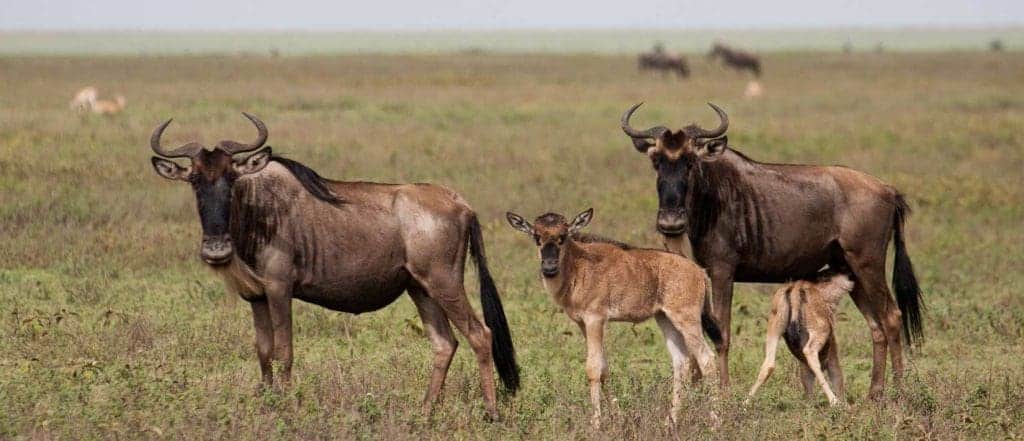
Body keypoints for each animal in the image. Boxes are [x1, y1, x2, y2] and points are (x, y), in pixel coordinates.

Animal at [148, 113, 519, 420]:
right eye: (195, 181)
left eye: (231, 179)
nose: (216, 249)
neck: (257, 210)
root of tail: (461, 203)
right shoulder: (256, 296)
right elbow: (263, 351)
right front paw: (266, 402)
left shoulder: (280, 288)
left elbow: (284, 350)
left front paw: (287, 406)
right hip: (420, 289)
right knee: (444, 343)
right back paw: (424, 412)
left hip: (445, 283)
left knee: (480, 334)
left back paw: (491, 413)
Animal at [506, 208, 720, 426]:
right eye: (536, 237)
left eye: (563, 236)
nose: (549, 268)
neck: (577, 266)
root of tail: (700, 272)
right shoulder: (583, 323)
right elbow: (604, 367)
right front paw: (617, 417)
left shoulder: (595, 319)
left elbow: (593, 368)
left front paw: (596, 424)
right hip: (665, 319)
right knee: (681, 362)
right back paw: (671, 421)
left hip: (687, 319)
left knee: (707, 360)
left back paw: (714, 422)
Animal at [746, 271, 855, 406]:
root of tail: (796, 287)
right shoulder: (832, 357)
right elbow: (837, 379)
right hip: (820, 331)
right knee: (810, 353)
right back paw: (834, 402)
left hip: (774, 327)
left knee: (769, 364)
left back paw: (745, 403)